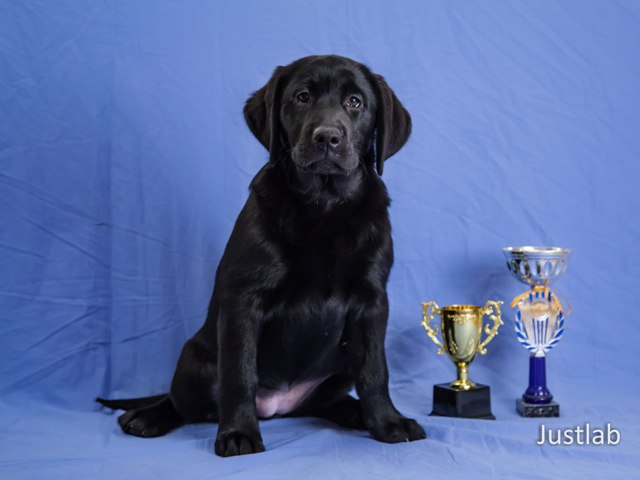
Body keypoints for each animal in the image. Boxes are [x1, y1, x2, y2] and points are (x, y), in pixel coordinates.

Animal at [98, 55, 426, 457]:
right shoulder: (244, 299)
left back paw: (356, 413)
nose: (327, 137)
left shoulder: (372, 302)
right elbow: (239, 373)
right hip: (193, 357)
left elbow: (376, 371)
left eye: (355, 102)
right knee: (183, 402)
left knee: (327, 400)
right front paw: (238, 433)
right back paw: (147, 417)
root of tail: (279, 407)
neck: (324, 205)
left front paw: (389, 421)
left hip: (340, 366)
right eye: (302, 97)